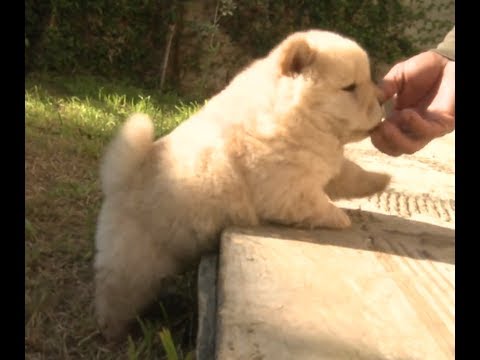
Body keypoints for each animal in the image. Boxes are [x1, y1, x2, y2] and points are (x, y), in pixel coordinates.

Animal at [94, 28, 390, 340]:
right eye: (349, 87)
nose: (383, 100)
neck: (295, 115)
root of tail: (122, 180)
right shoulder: (288, 191)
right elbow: (318, 203)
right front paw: (341, 218)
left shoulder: (323, 163)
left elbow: (349, 173)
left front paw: (380, 181)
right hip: (133, 263)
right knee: (115, 296)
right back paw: (115, 334)